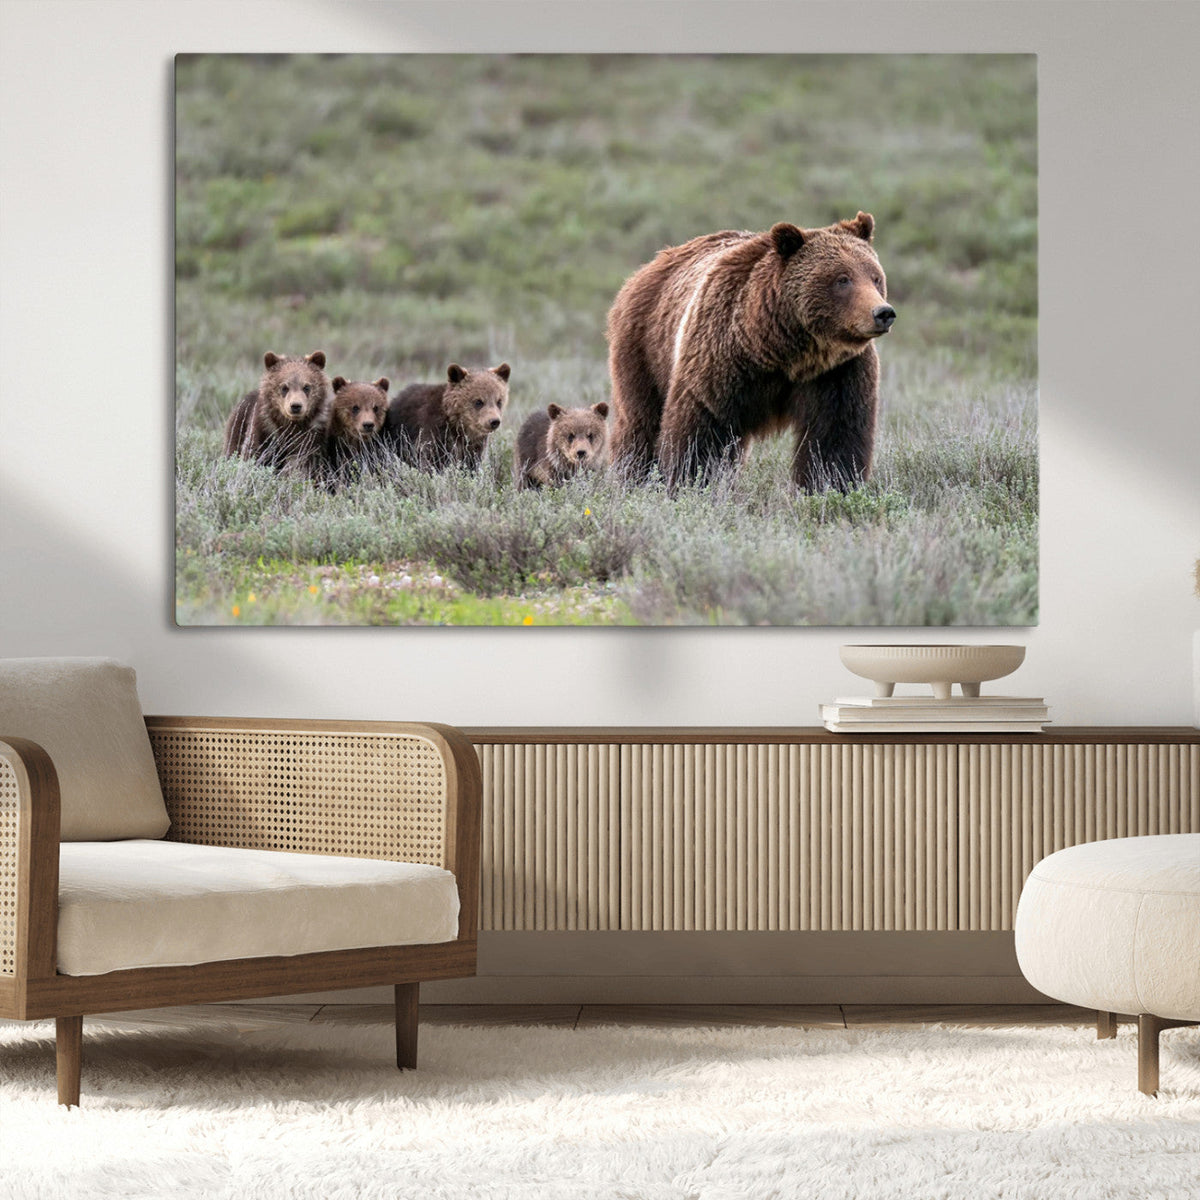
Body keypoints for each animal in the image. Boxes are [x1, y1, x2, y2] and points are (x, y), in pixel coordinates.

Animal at [605, 212, 895, 491]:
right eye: (842, 279)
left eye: (875, 277)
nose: (883, 312)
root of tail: (649, 266)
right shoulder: (721, 358)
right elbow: (700, 430)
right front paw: (689, 483)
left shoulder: (837, 371)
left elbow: (835, 436)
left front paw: (830, 486)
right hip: (645, 347)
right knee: (640, 422)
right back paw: (632, 476)